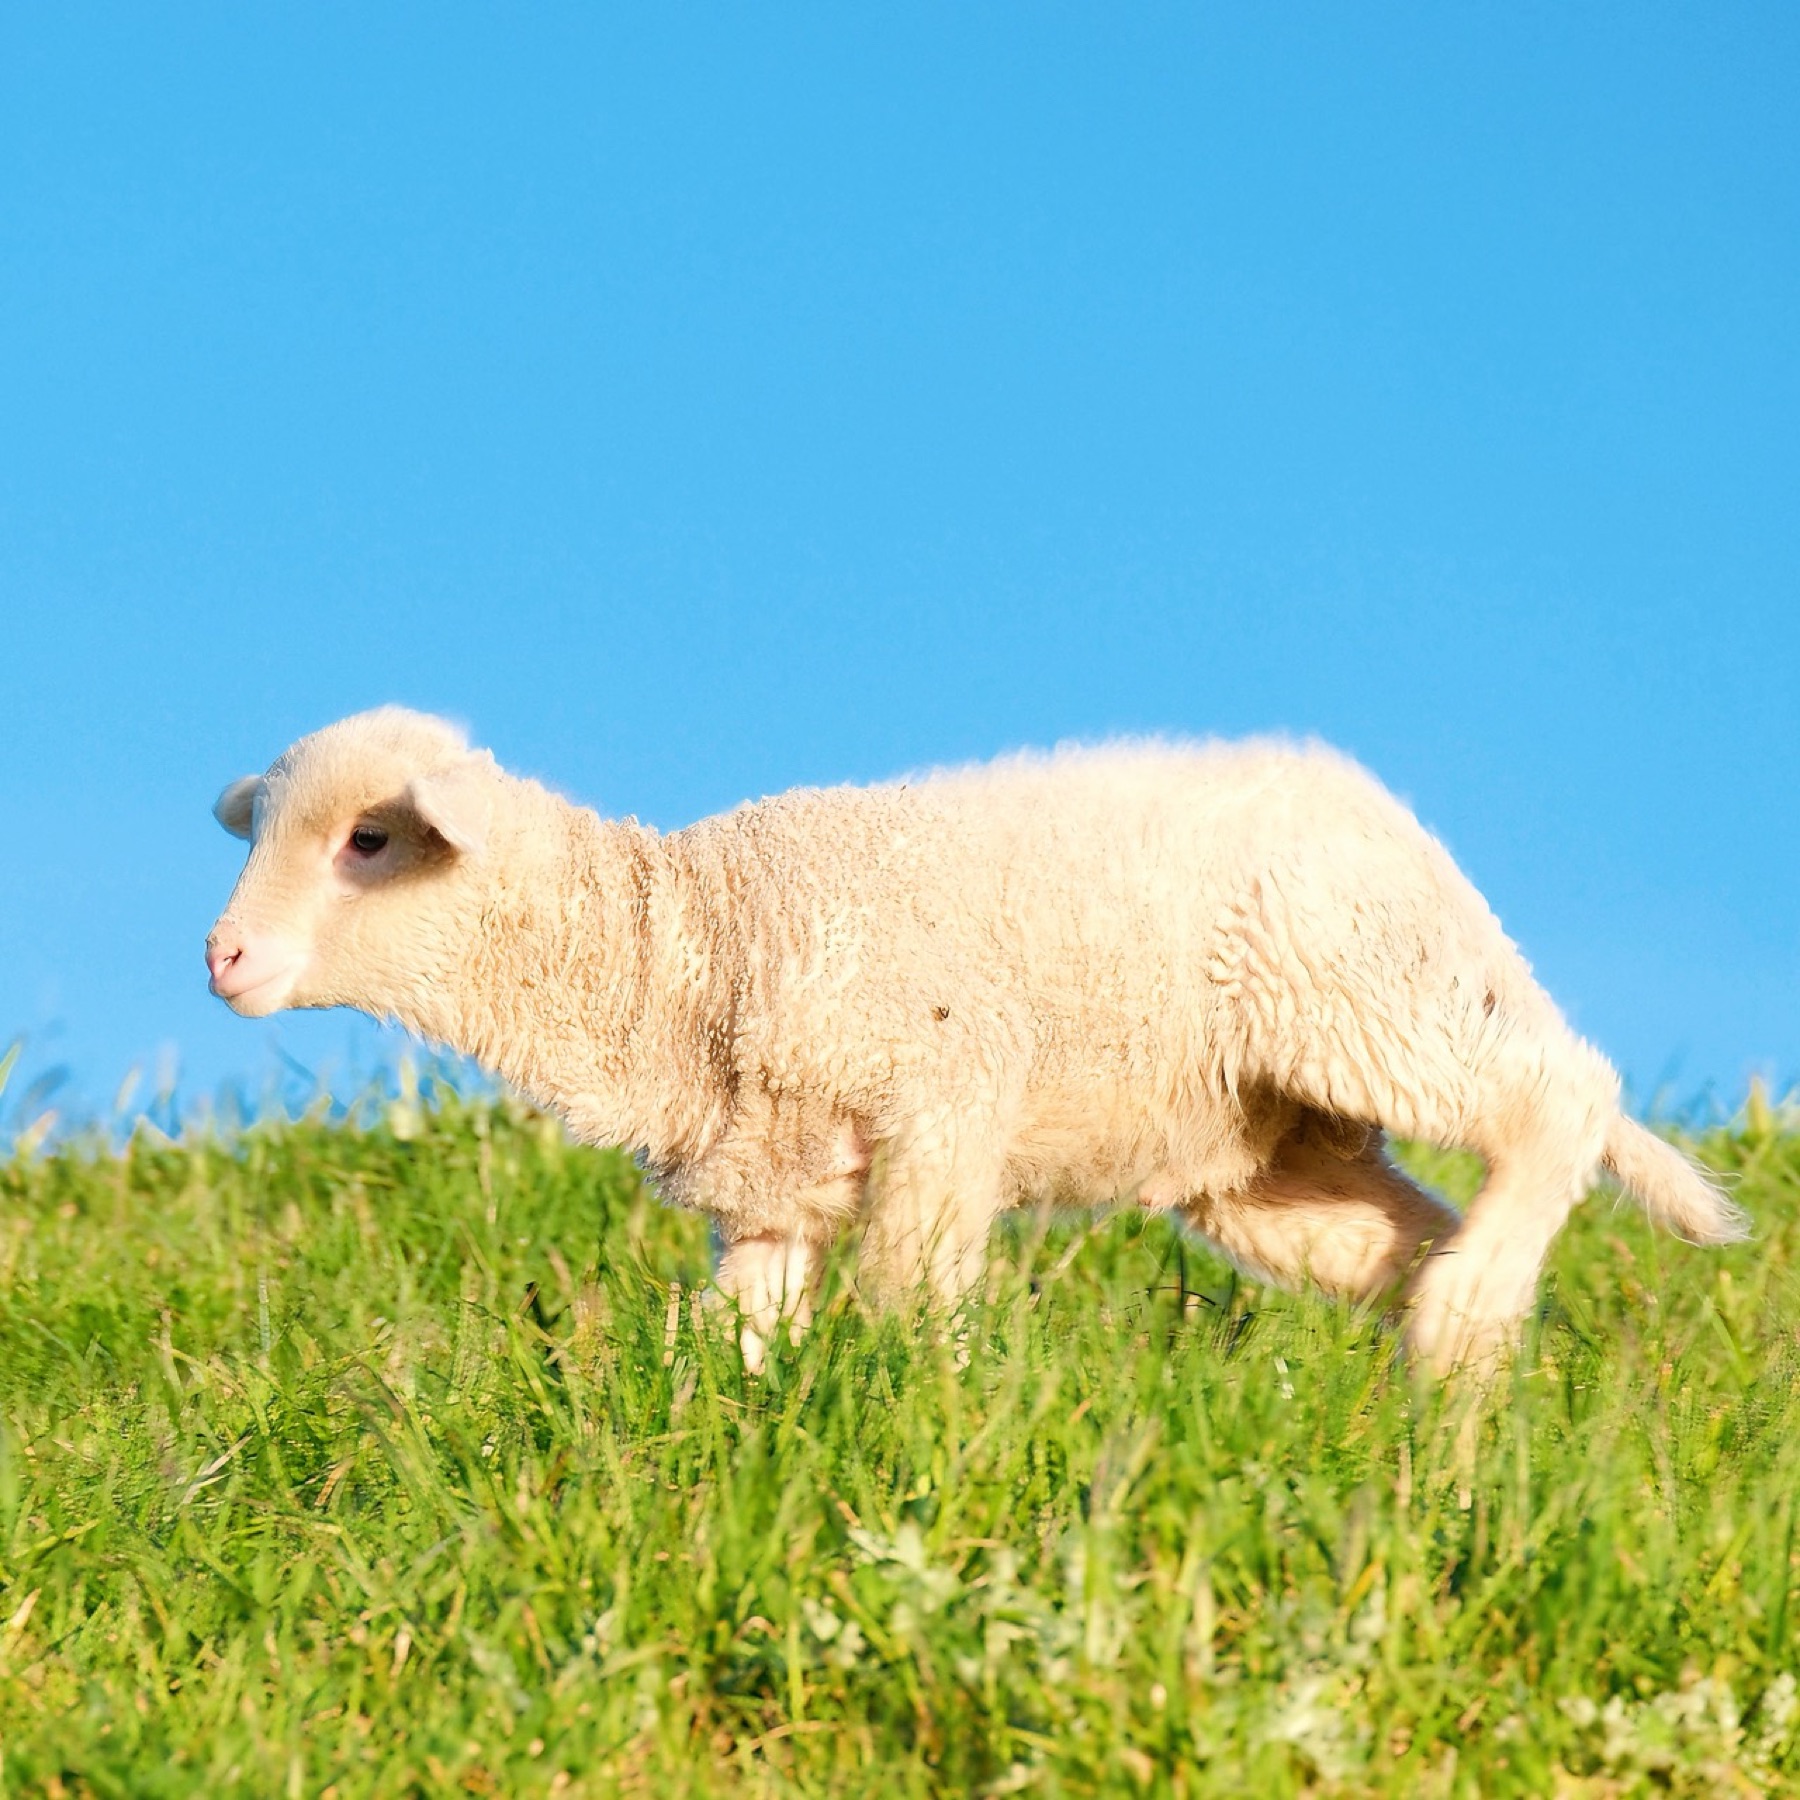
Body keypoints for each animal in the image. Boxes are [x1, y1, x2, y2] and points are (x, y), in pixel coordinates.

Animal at [205, 707, 1745, 1374]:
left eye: (367, 841)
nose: (219, 959)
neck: (684, 939)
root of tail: (1406, 834)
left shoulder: (944, 1094)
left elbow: (906, 1295)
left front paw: (909, 1423)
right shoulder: (774, 1190)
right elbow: (734, 1331)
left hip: (1350, 989)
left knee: (1563, 1093)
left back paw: (1468, 1313)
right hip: (1265, 1146)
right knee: (1402, 1231)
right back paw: (1462, 1374)